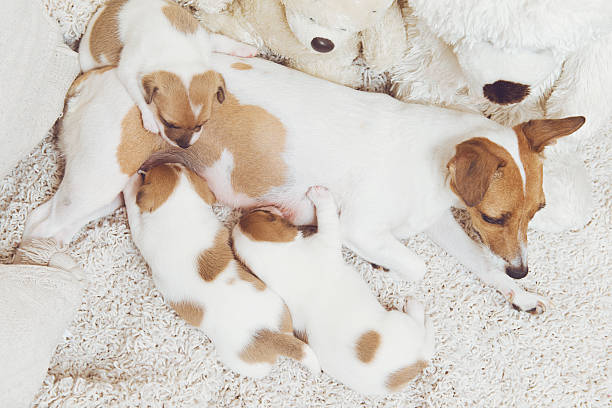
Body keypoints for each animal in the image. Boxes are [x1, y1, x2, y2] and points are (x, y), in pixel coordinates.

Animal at [23, 55, 584, 314]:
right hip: (97, 180)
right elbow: (417, 267)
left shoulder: (440, 223)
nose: (521, 270)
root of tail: (97, 75)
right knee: (38, 224)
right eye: (493, 216)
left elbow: (479, 263)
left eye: (538, 210)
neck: (433, 161)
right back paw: (46, 272)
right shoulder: (365, 229)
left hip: (108, 189)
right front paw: (386, 266)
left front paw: (517, 293)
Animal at [79, 0, 256, 148]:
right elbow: (138, 94)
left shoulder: (204, 38)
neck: (178, 53)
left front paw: (245, 48)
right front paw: (148, 118)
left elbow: (223, 41)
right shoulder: (128, 68)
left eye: (201, 124)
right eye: (167, 122)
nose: (184, 146)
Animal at [122, 163, 318, 380]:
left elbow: (133, 209)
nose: (163, 161)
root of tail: (270, 335)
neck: (181, 214)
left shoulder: (142, 234)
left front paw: (130, 184)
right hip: (280, 309)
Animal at [231, 186, 436, 394]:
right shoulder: (327, 240)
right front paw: (320, 194)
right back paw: (415, 307)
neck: (279, 262)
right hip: (402, 323)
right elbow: (328, 217)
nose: (267, 206)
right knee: (424, 334)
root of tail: (415, 365)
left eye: (260, 212)